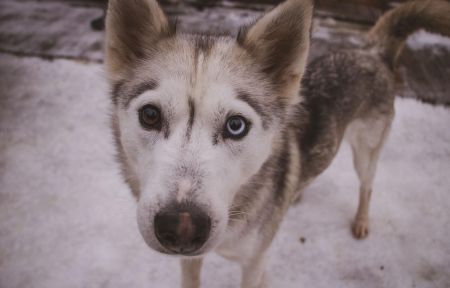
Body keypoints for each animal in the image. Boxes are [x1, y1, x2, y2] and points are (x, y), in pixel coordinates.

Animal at [104, 0, 450, 286]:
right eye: (150, 115)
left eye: (235, 125)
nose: (182, 226)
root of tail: (371, 52)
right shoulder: (192, 261)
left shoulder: (254, 263)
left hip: (366, 152)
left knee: (367, 185)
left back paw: (361, 219)